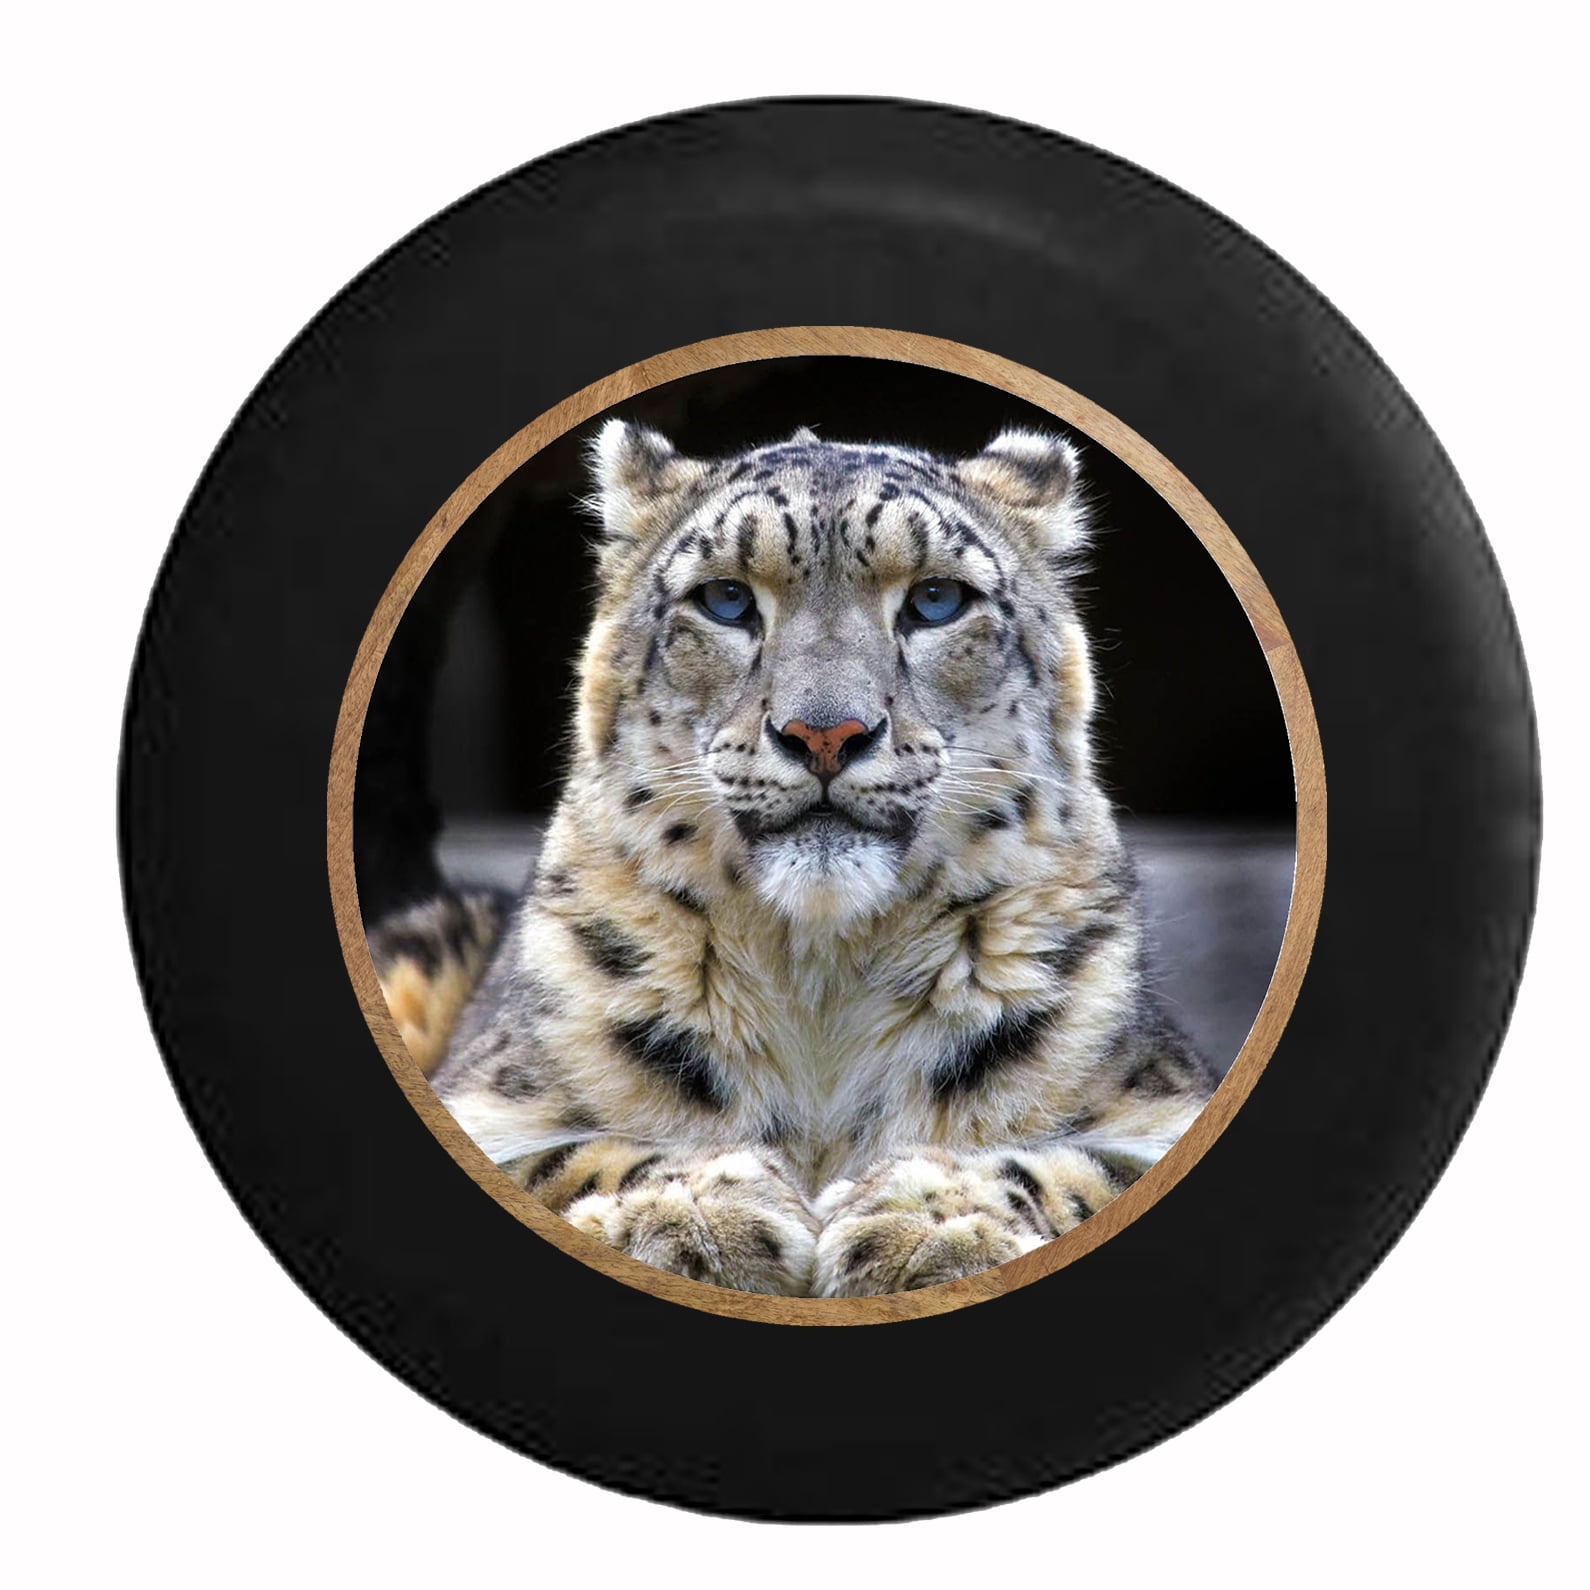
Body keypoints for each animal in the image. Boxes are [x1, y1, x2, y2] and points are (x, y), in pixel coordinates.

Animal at [367, 419, 1218, 1298]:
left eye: (937, 600)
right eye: (726, 598)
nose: (825, 733)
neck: (822, 979)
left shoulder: (1163, 1101)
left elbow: (1090, 1165)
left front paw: (929, 1218)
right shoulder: (486, 1100)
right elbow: (554, 1157)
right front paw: (696, 1204)